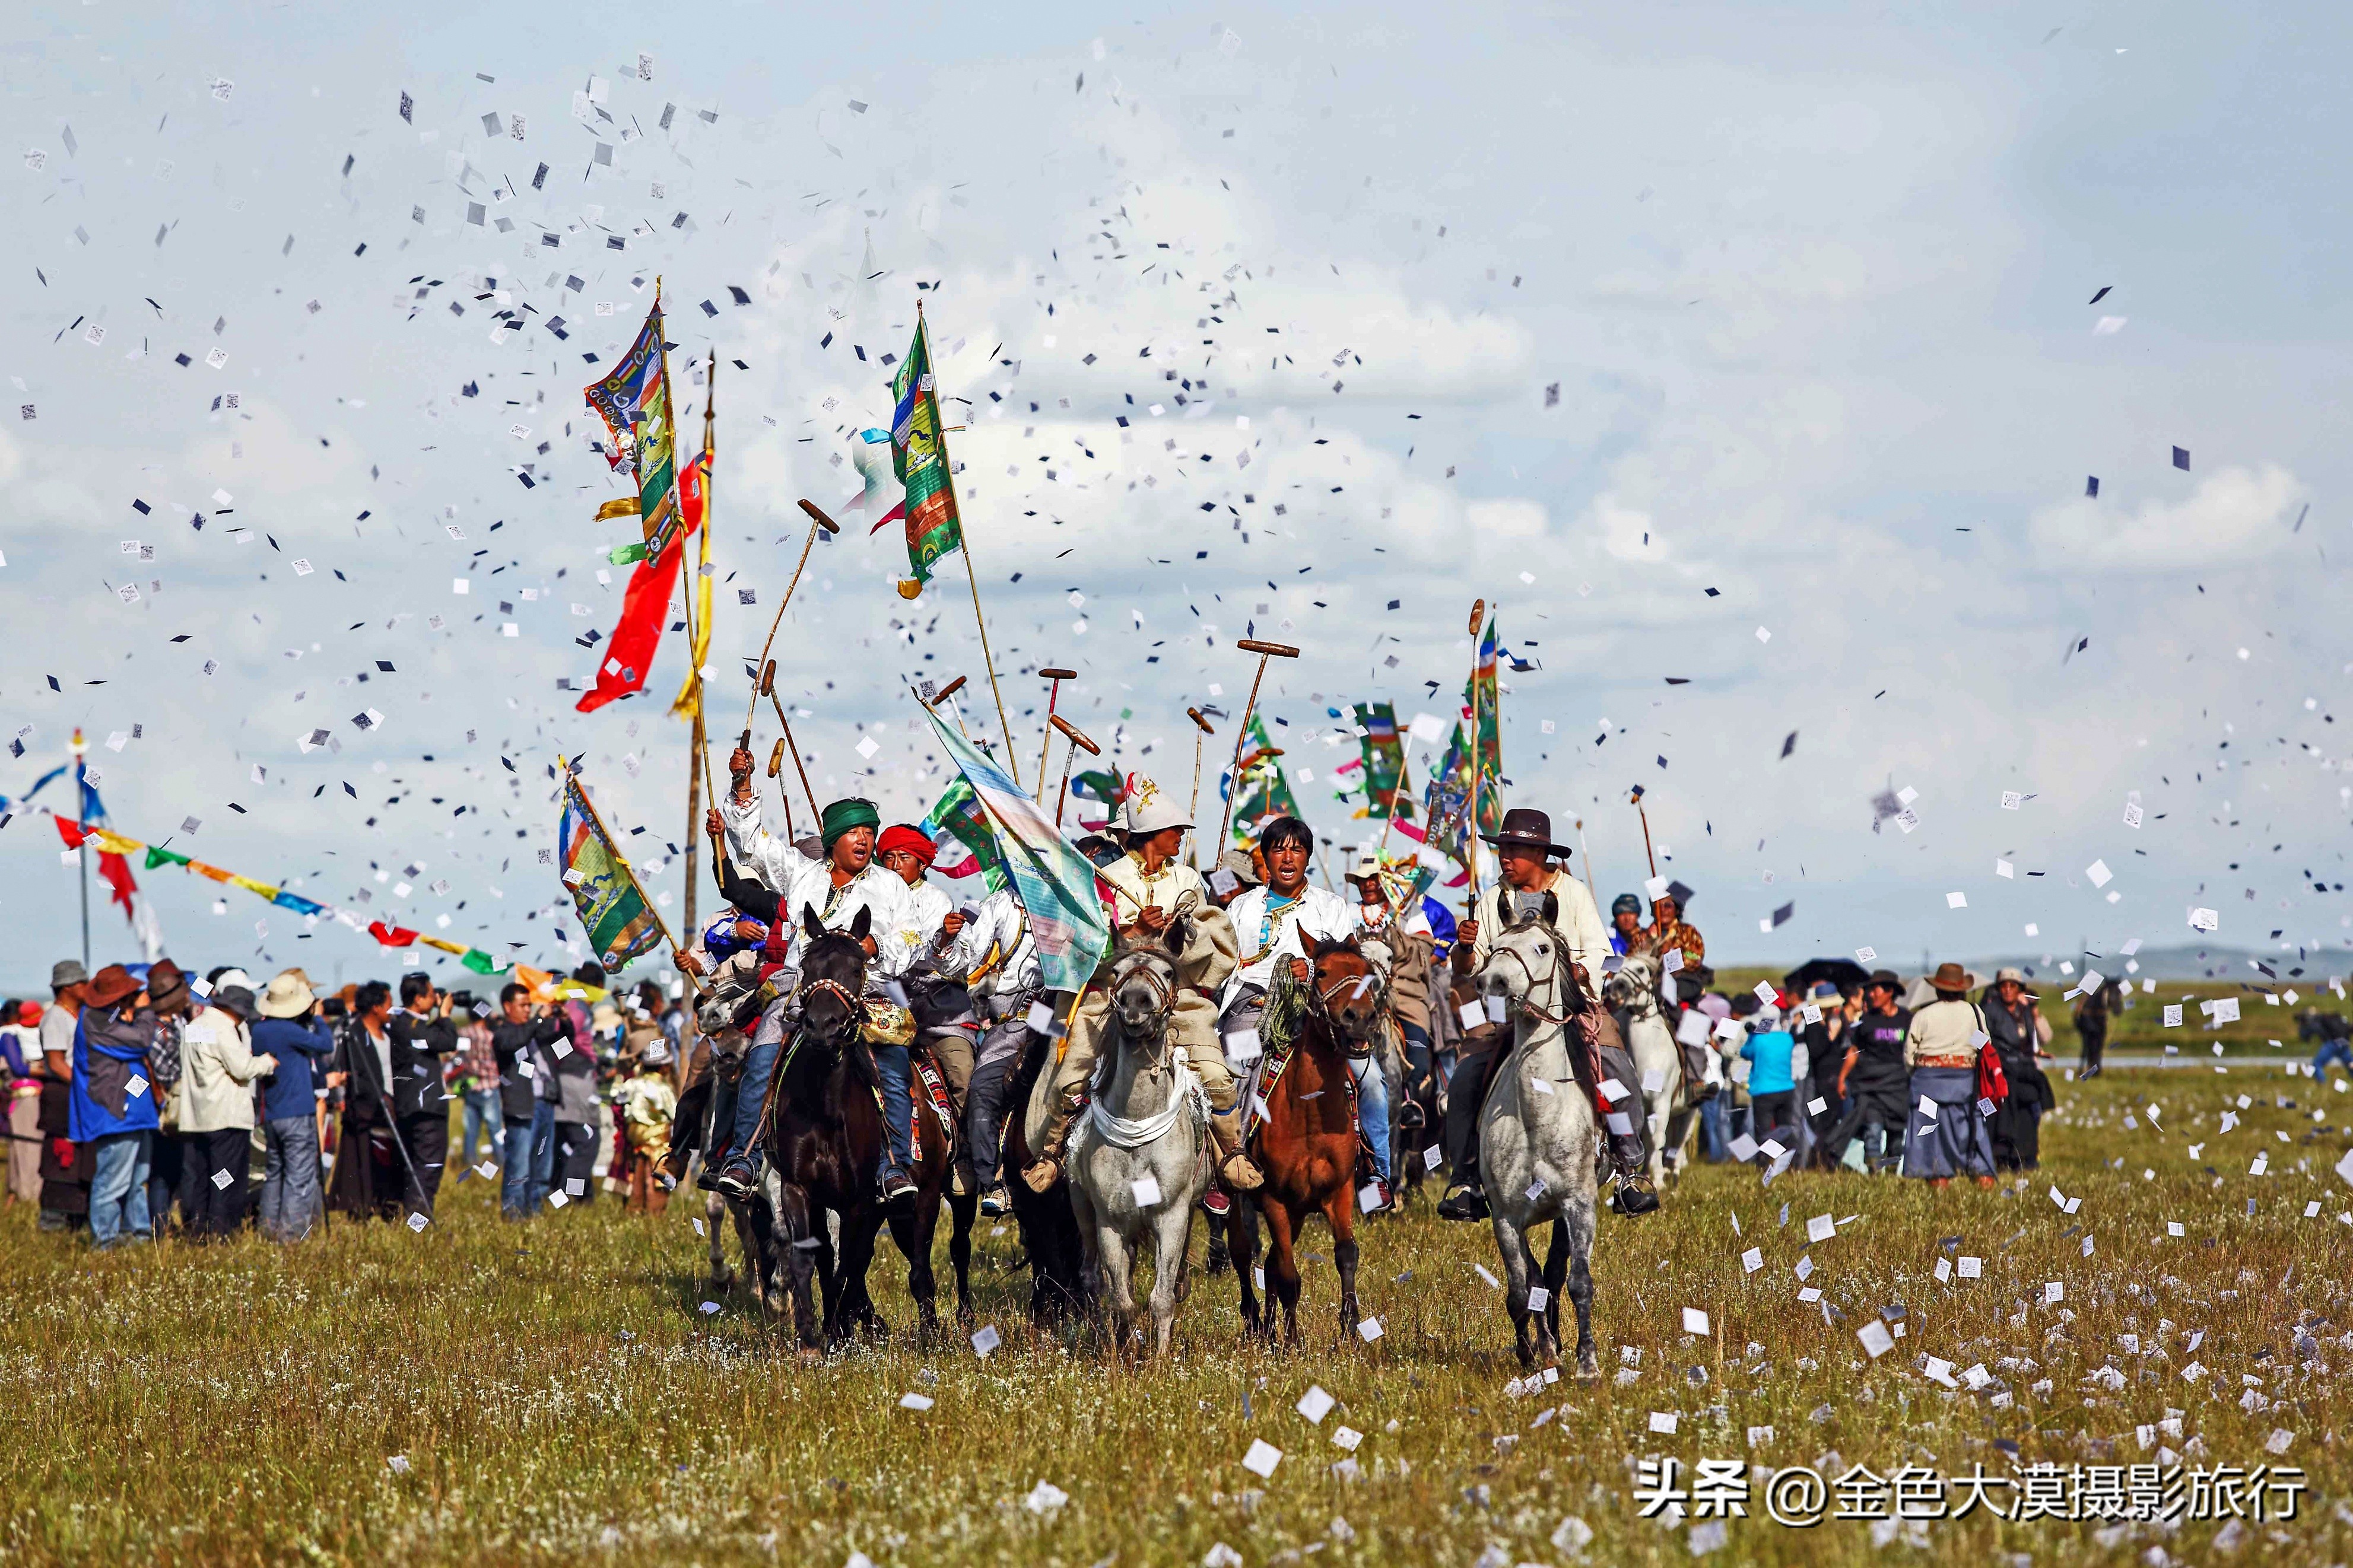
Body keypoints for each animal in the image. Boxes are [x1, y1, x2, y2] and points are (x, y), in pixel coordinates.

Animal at [760, 904, 972, 1353]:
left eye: (857, 968)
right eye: (807, 966)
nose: (822, 1026)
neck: (827, 1107)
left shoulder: (861, 1199)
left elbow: (850, 1266)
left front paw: (840, 1330)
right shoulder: (799, 1188)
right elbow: (813, 1259)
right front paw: (813, 1336)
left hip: (938, 1193)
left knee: (944, 1253)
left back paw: (948, 1326)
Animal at [1065, 924, 1210, 1355]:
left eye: (1168, 972)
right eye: (1116, 972)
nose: (1135, 1003)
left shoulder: (1173, 1216)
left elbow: (1161, 1297)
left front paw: (1160, 1358)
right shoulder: (1110, 1223)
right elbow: (1122, 1299)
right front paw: (1125, 1349)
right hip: (1085, 1212)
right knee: (1094, 1279)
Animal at [1226, 938, 1377, 1344]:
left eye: (1367, 971)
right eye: (1320, 972)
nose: (1360, 1017)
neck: (1307, 1113)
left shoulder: (1338, 1192)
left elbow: (1346, 1254)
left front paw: (1350, 1328)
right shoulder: (1275, 1200)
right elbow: (1289, 1276)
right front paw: (1293, 1341)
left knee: (1269, 1263)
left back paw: (1267, 1330)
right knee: (1244, 1255)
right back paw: (1254, 1322)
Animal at [1474, 894, 1602, 1376]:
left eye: (1543, 948)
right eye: (1495, 945)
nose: (1491, 982)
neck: (1538, 1117)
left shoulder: (1579, 1206)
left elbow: (1578, 1282)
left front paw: (1587, 1364)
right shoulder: (1506, 1217)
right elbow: (1519, 1290)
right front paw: (1536, 1353)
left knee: (1555, 1273)